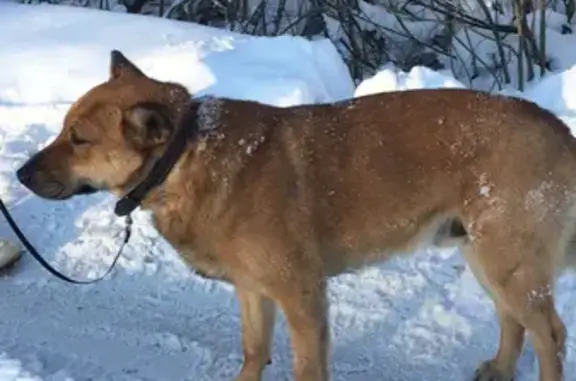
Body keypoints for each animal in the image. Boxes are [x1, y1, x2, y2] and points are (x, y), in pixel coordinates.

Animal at [14, 50, 576, 380]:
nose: (18, 175)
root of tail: (558, 128)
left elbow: (305, 367)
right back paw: (500, 369)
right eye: (63, 129)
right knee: (513, 321)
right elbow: (252, 351)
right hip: (488, 257)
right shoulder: (253, 290)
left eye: (79, 140)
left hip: (506, 261)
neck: (185, 155)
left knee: (549, 334)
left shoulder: (301, 295)